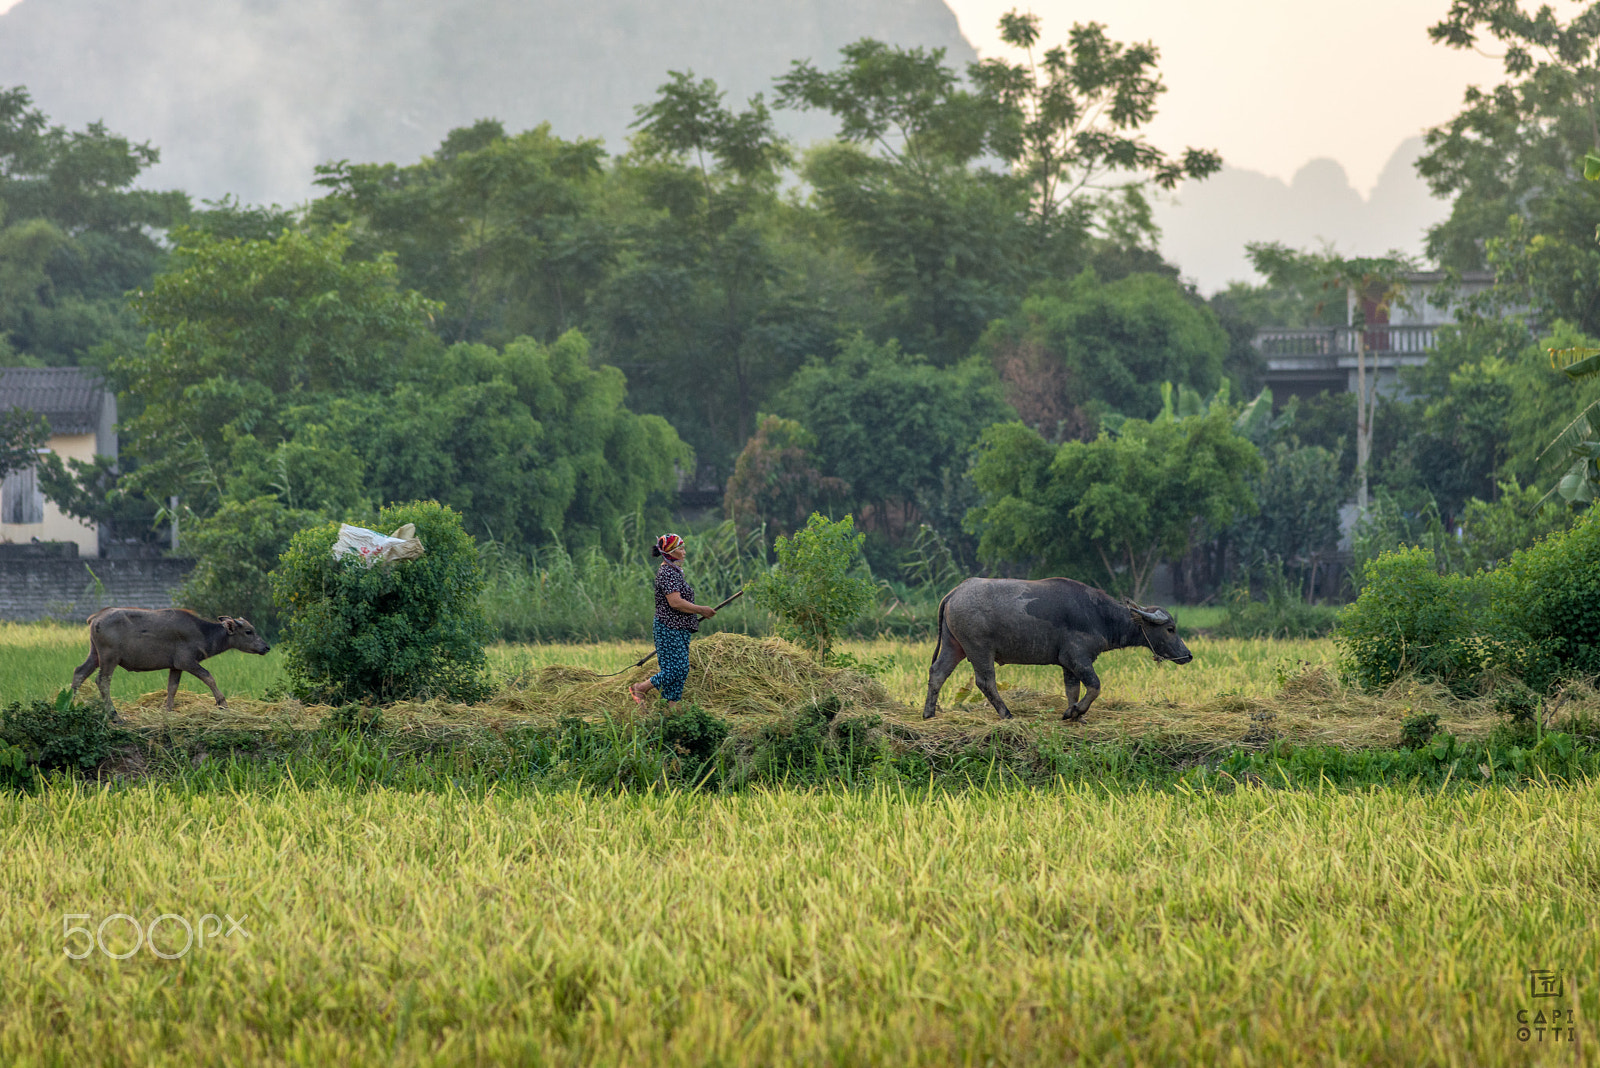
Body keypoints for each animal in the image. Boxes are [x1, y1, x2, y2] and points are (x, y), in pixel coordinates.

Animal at [72, 607, 270, 716]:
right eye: (249, 632)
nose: (266, 647)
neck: (202, 632)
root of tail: (95, 618)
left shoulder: (175, 666)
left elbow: (172, 688)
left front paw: (168, 711)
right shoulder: (186, 662)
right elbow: (209, 677)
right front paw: (223, 704)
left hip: (95, 655)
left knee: (79, 672)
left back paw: (70, 704)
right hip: (109, 657)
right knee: (102, 681)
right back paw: (114, 715)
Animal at [921, 578, 1196, 722]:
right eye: (1170, 628)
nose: (1188, 655)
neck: (1099, 615)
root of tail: (955, 592)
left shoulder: (1068, 664)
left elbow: (1072, 690)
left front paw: (1075, 714)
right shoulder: (1077, 657)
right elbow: (1095, 686)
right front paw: (1074, 712)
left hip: (954, 645)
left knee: (938, 673)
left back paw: (929, 713)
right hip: (979, 649)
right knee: (985, 681)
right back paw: (1007, 714)